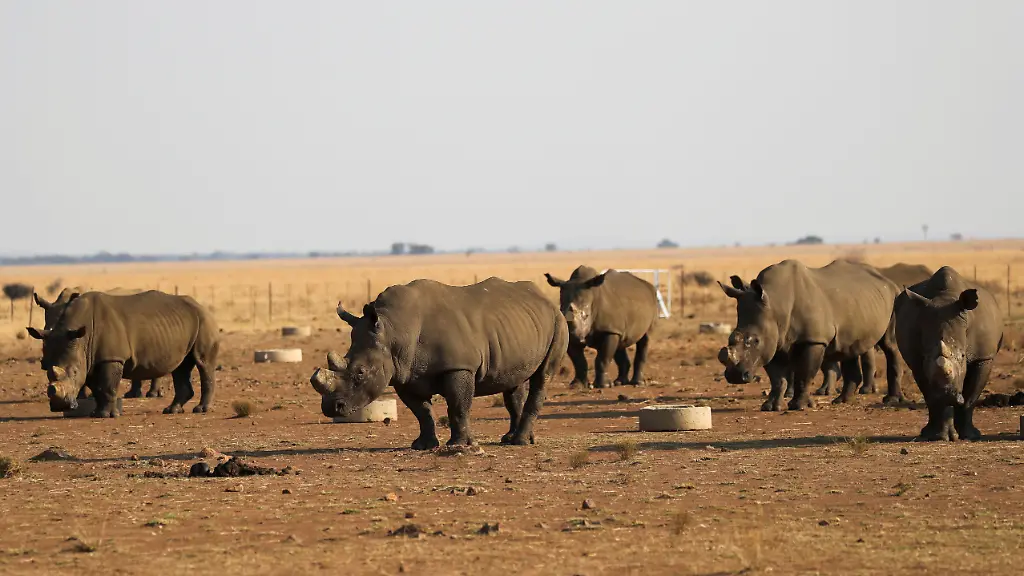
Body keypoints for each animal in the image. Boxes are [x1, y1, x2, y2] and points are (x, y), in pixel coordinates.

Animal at [309, 278, 568, 449]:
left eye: (361, 372)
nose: (331, 408)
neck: (394, 330)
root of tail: (546, 300)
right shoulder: (404, 373)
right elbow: (422, 412)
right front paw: (423, 445)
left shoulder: (458, 366)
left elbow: (458, 406)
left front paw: (458, 446)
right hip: (519, 327)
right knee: (514, 383)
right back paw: (513, 439)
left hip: (559, 322)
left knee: (542, 377)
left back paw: (520, 442)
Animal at [717, 259, 904, 411]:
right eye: (730, 338)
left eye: (755, 340)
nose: (735, 376)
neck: (776, 304)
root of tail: (888, 281)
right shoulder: (773, 342)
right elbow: (777, 378)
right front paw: (770, 407)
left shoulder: (813, 340)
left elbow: (804, 373)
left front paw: (799, 406)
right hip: (859, 302)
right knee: (849, 347)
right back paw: (842, 401)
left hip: (895, 297)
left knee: (889, 345)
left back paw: (891, 400)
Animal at [895, 266, 1003, 441]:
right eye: (926, 356)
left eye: (963, 356)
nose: (946, 394)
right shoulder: (917, 361)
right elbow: (931, 397)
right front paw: (938, 436)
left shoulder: (983, 357)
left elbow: (970, 397)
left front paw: (970, 436)